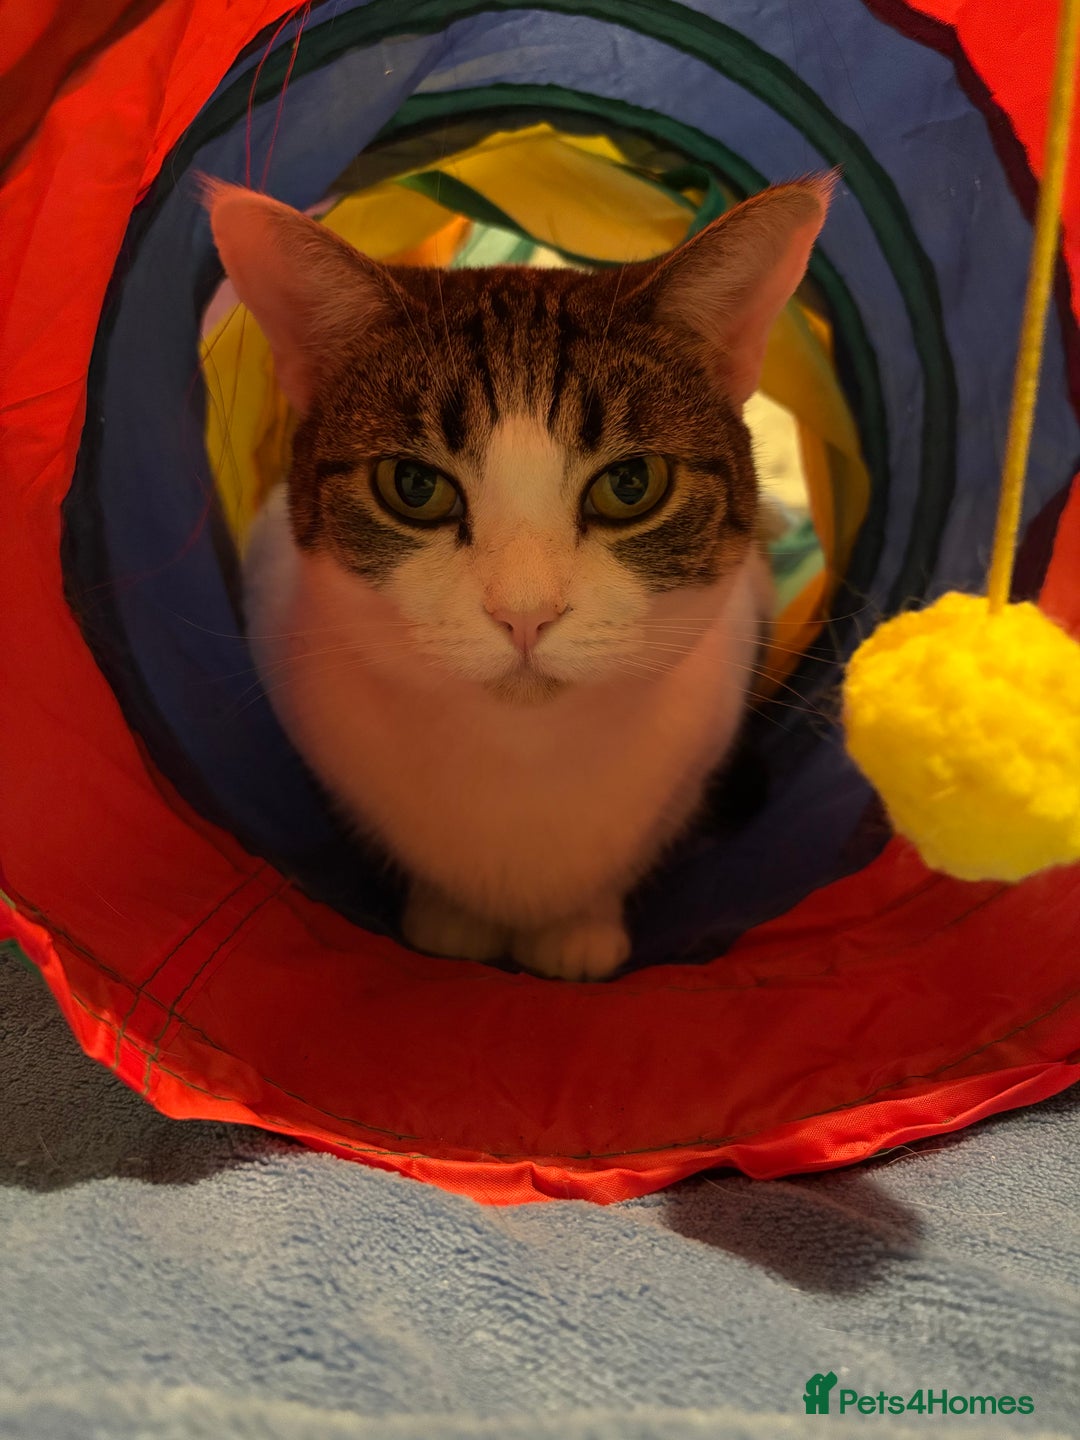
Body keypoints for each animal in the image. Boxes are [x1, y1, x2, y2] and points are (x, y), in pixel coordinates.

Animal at [207, 172, 832, 980]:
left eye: (631, 484)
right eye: (414, 486)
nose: (525, 614)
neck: (520, 755)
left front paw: (578, 929)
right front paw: (450, 919)